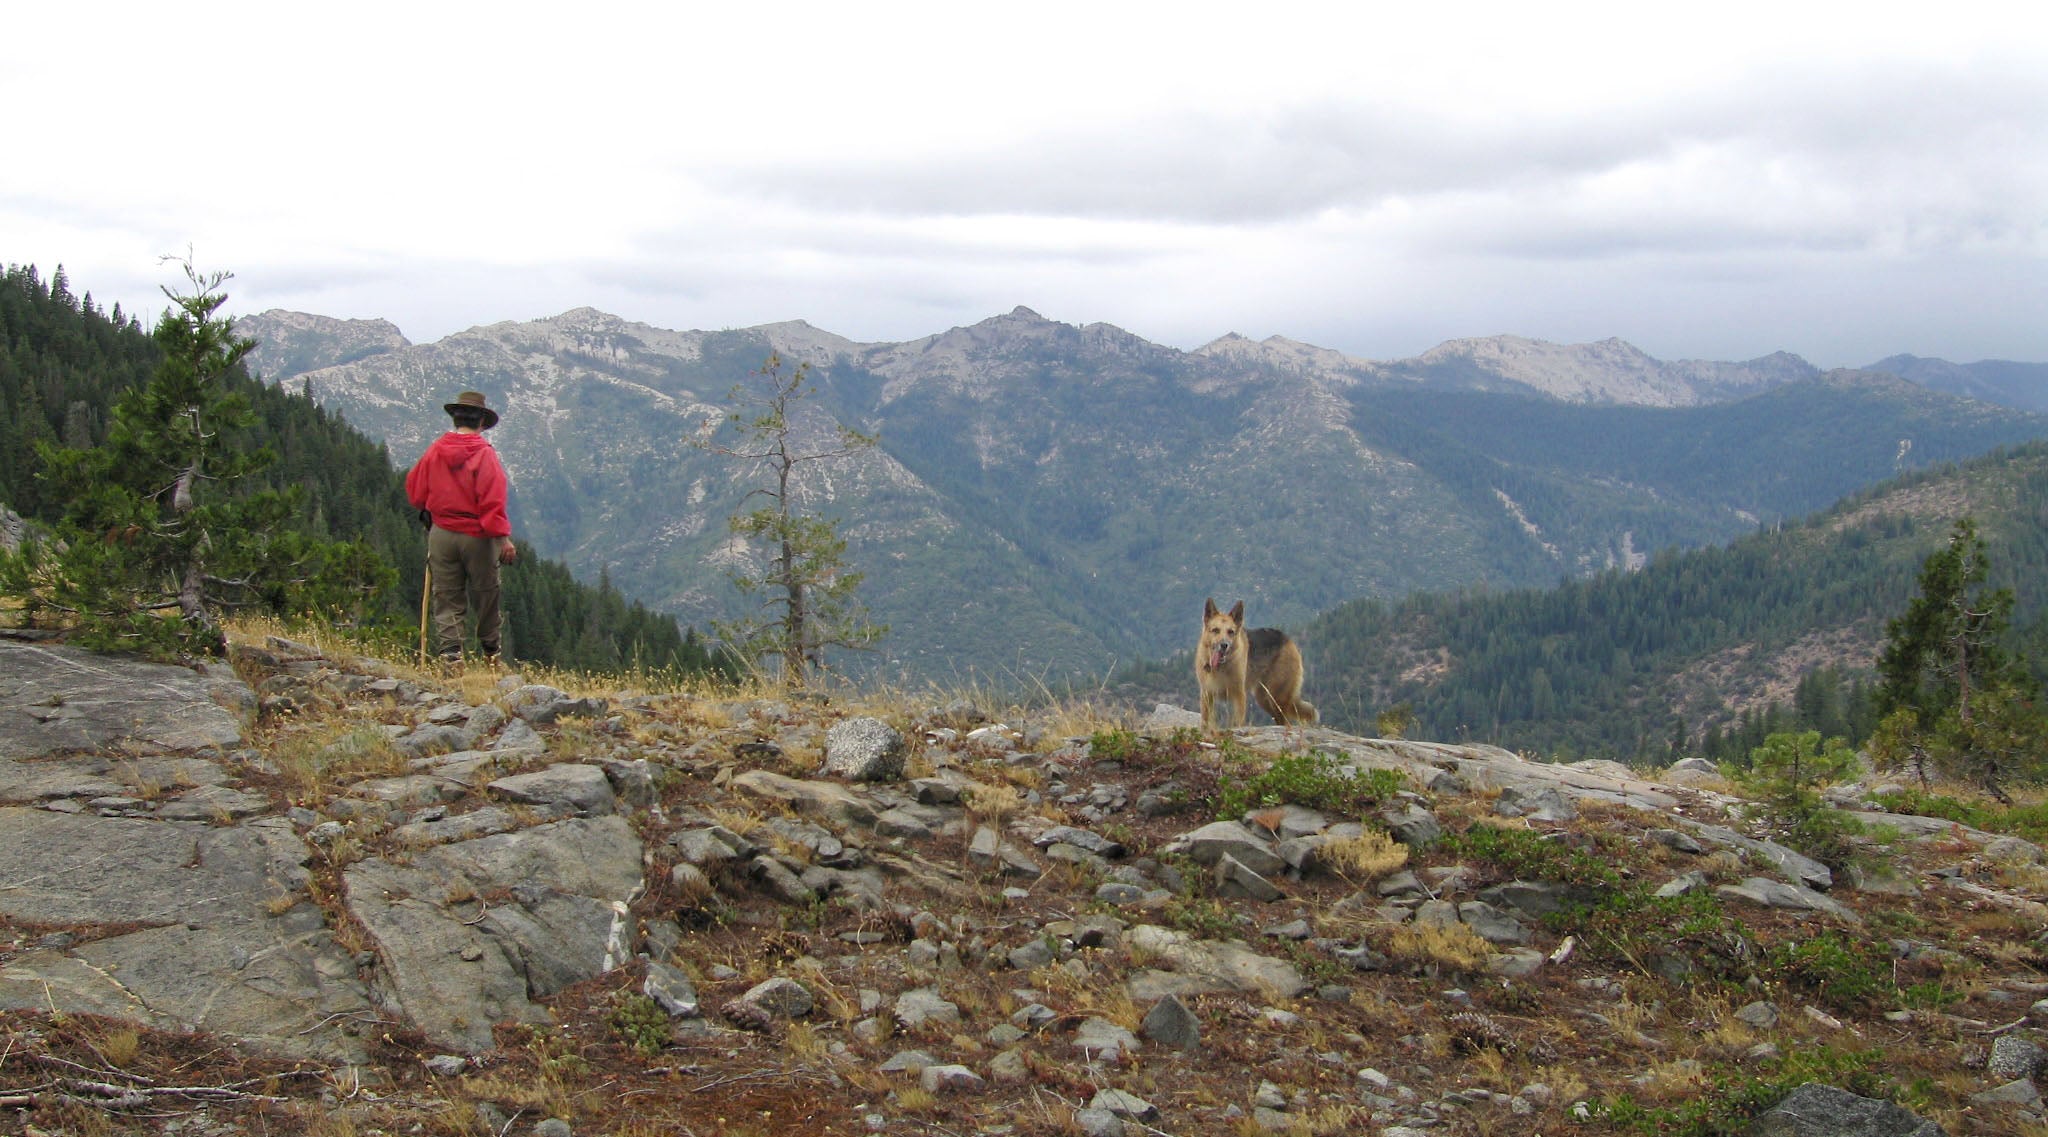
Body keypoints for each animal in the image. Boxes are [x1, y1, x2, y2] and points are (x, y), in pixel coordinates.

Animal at [1196, 598, 1318, 729]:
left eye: (1231, 632)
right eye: (1215, 630)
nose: (1224, 645)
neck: (1220, 667)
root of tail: (1289, 640)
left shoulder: (1239, 696)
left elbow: (1238, 723)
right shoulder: (1206, 696)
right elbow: (1205, 723)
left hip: (1277, 699)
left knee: (1287, 723)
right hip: (1265, 700)